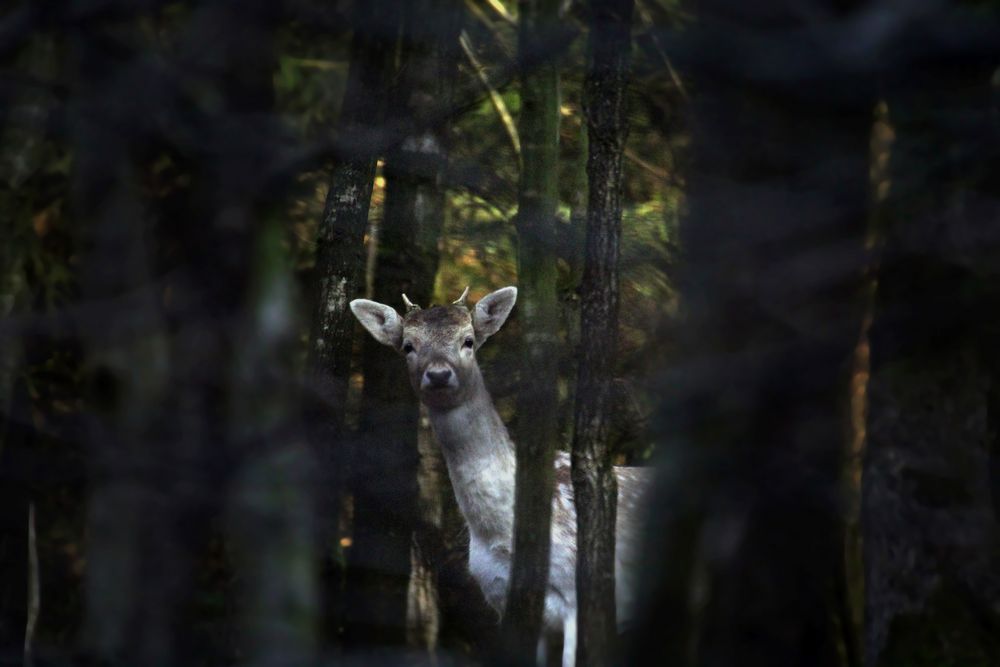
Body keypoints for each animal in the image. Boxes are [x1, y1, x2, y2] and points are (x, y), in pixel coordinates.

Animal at [350, 286, 648, 667]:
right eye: (407, 345)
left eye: (468, 340)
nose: (439, 374)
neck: (497, 532)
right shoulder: (503, 600)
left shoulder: (577, 596)